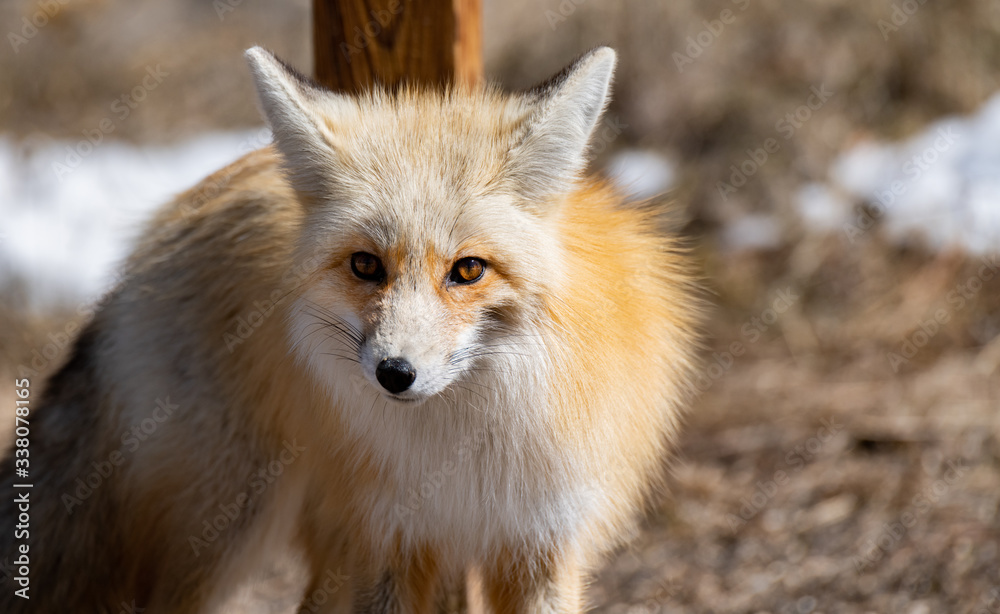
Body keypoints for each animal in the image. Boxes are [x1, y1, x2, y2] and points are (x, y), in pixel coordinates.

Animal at [0, 46, 700, 613]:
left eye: (468, 269)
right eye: (366, 265)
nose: (395, 375)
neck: (464, 447)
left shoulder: (539, 542)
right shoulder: (386, 536)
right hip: (228, 524)